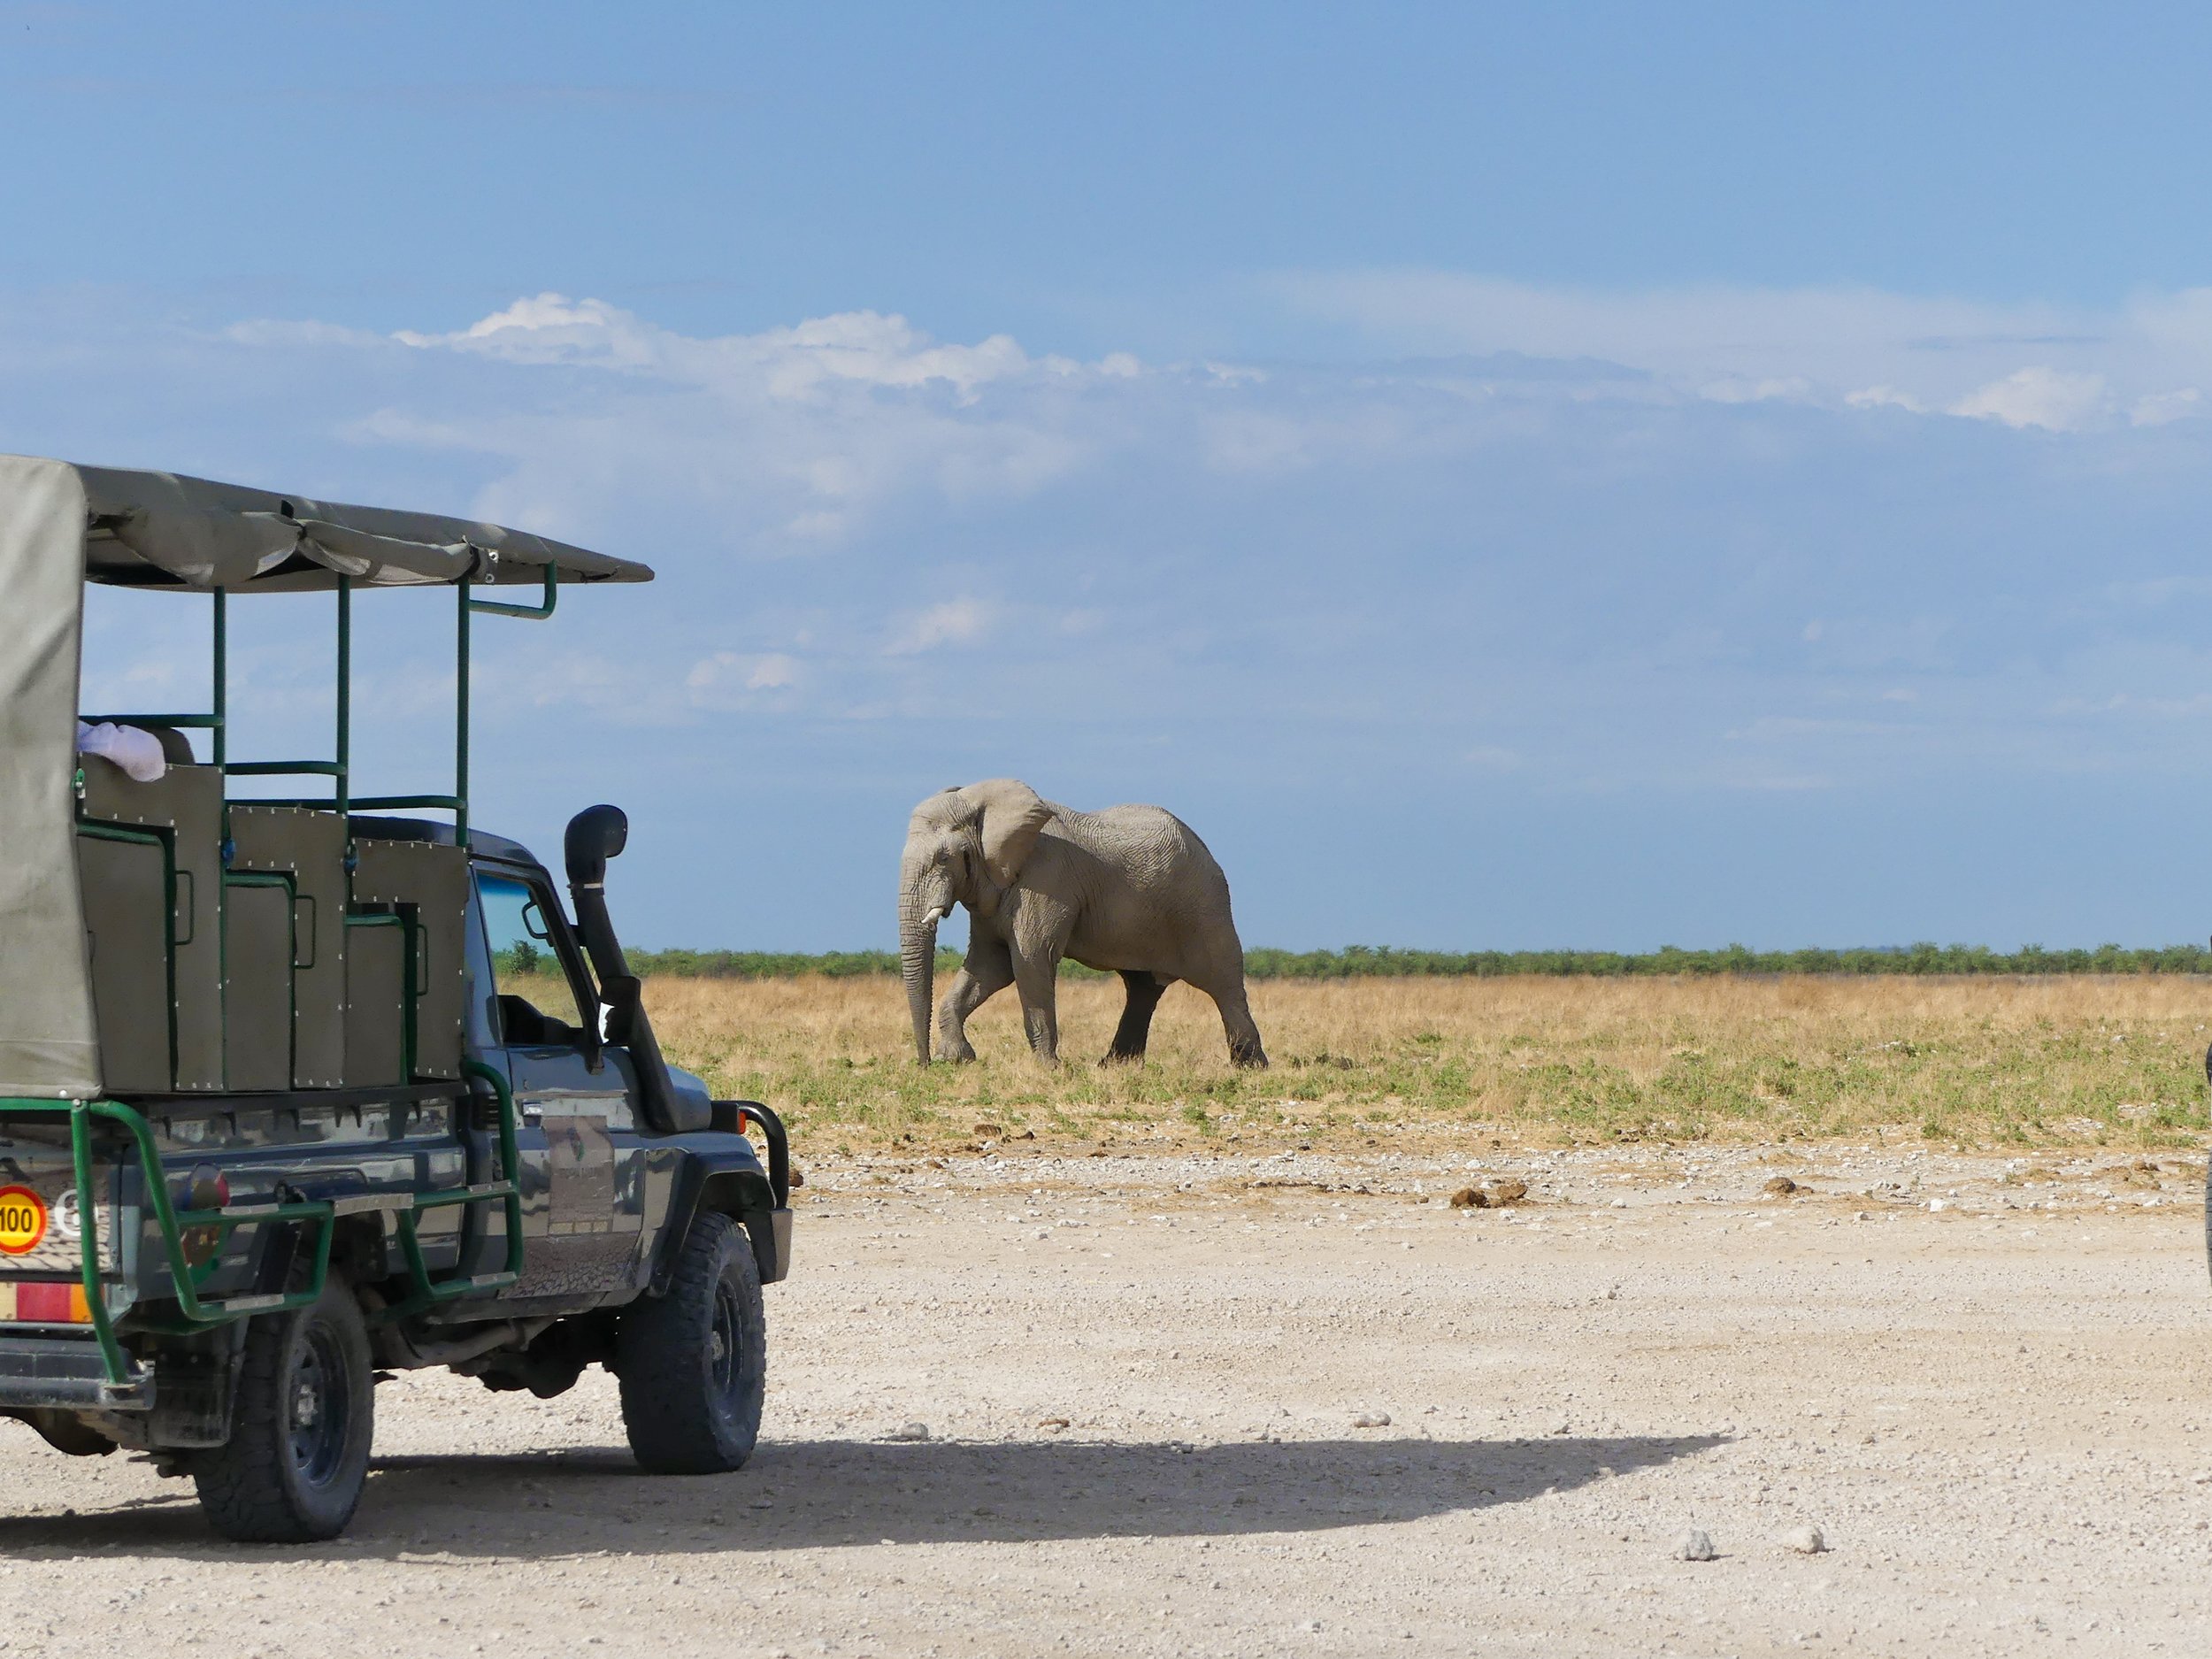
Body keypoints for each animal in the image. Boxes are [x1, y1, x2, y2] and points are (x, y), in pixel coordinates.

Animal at [898, 779, 1267, 1069]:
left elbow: (1030, 960)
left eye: (944, 858)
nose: (924, 1064)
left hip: (1205, 905)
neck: (979, 800)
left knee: (1223, 982)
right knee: (1143, 988)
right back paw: (1115, 1066)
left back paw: (1250, 1067)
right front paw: (957, 1059)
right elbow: (988, 967)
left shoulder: (1047, 877)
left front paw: (1048, 1068)